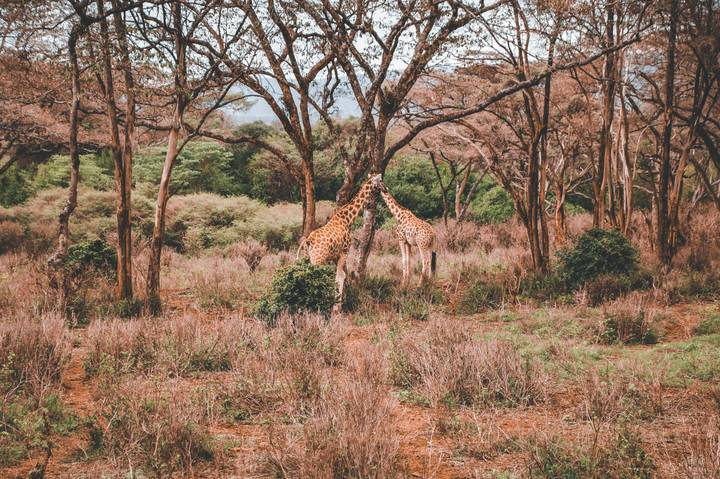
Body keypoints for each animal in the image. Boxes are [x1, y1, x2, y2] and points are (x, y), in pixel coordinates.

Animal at [297, 173, 383, 310]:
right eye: (381, 180)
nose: (386, 189)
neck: (347, 219)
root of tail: (308, 241)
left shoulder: (334, 256)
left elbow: (338, 277)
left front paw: (336, 305)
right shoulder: (344, 251)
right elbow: (341, 276)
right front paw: (337, 308)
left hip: (308, 257)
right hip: (317, 259)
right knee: (311, 277)